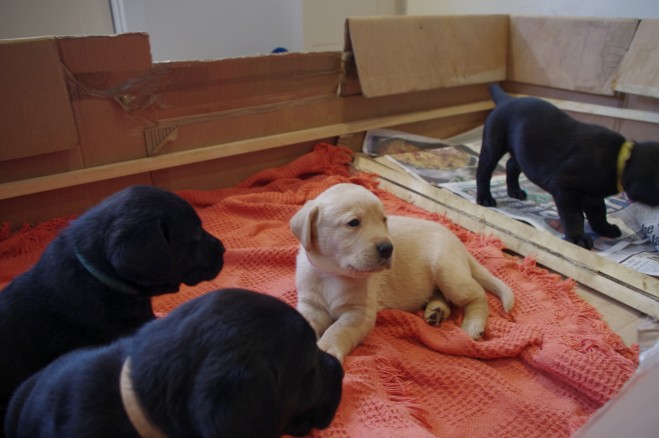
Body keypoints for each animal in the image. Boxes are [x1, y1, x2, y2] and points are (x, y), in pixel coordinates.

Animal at [292, 182, 516, 362]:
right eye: (353, 223)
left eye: (384, 220)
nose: (388, 248)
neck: (332, 274)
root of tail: (459, 243)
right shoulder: (311, 305)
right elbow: (304, 321)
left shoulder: (360, 312)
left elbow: (339, 329)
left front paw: (326, 349)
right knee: (442, 295)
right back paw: (437, 311)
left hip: (447, 271)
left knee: (477, 295)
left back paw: (472, 324)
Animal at [476, 84, 659, 250]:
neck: (620, 160)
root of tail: (507, 100)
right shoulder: (564, 188)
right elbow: (574, 215)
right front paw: (578, 238)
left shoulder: (593, 196)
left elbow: (599, 213)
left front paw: (605, 229)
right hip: (493, 144)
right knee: (484, 171)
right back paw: (485, 198)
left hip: (521, 152)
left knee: (511, 164)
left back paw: (514, 191)